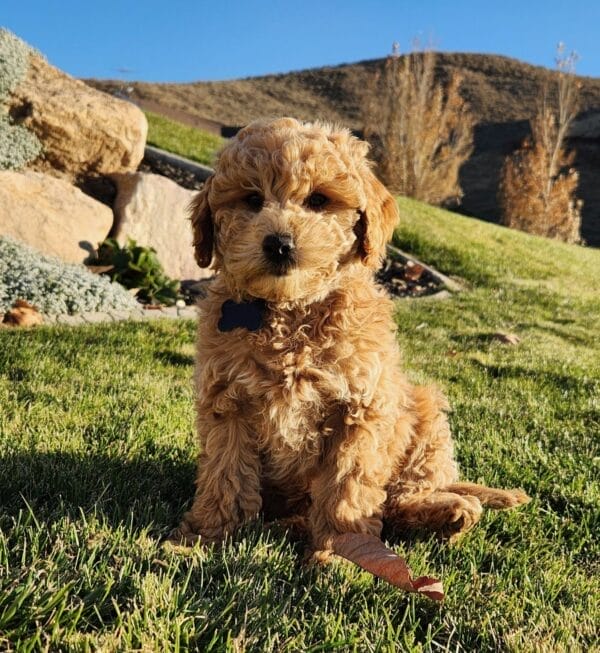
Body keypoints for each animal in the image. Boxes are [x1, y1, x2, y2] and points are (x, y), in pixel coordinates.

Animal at [170, 117, 528, 556]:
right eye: (252, 199)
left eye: (318, 200)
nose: (279, 244)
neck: (292, 313)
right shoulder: (226, 400)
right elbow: (226, 474)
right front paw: (204, 537)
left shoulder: (361, 408)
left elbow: (348, 484)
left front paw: (345, 551)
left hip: (424, 415)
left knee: (404, 496)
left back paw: (446, 512)